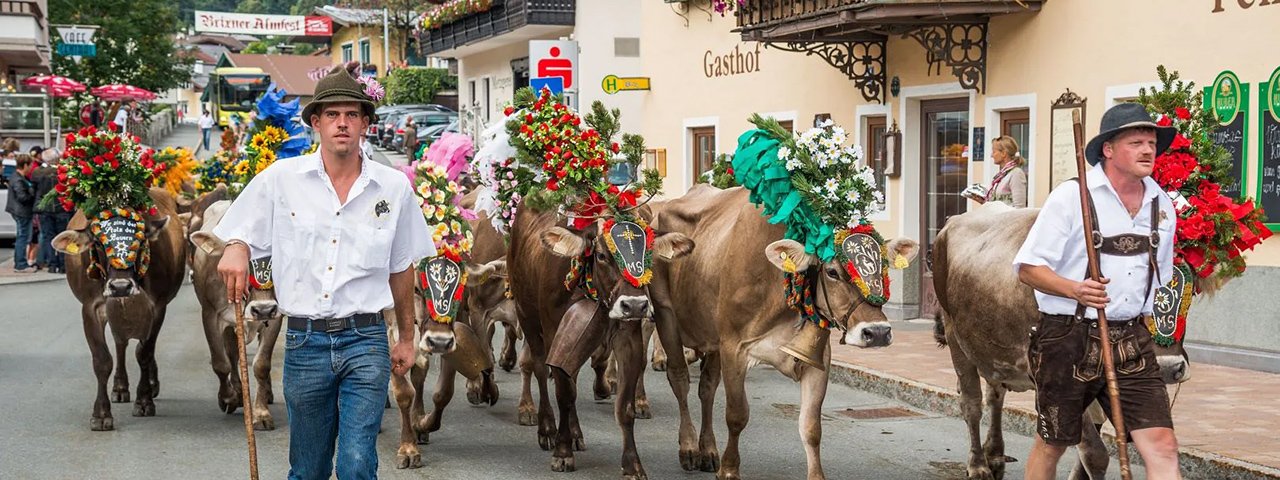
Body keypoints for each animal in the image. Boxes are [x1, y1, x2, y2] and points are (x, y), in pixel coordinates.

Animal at [53, 188, 186, 432]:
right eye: (97, 243)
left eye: (141, 241)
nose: (121, 286)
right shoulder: (91, 308)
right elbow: (102, 360)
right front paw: (101, 414)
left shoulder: (158, 306)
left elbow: (144, 353)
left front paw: (144, 401)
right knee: (120, 343)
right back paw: (120, 387)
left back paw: (150, 383)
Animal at [186, 200, 282, 430]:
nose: (263, 309)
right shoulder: (211, 315)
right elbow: (221, 363)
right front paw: (228, 397)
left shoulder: (276, 317)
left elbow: (262, 364)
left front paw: (261, 413)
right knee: (232, 355)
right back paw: (237, 393)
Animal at [506, 204, 691, 478]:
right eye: (602, 256)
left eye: (649, 254)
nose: (634, 304)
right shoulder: (553, 333)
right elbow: (564, 394)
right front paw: (562, 452)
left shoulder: (629, 340)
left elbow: (624, 407)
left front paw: (632, 464)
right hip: (526, 315)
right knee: (539, 369)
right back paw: (547, 428)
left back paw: (574, 433)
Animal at [650, 185, 921, 480]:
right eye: (832, 271)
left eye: (885, 267)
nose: (878, 332)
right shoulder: (734, 348)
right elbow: (737, 415)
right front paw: (730, 470)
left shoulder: (817, 359)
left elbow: (811, 427)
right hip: (666, 314)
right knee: (680, 379)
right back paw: (688, 447)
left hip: (711, 337)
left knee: (707, 388)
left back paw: (708, 450)